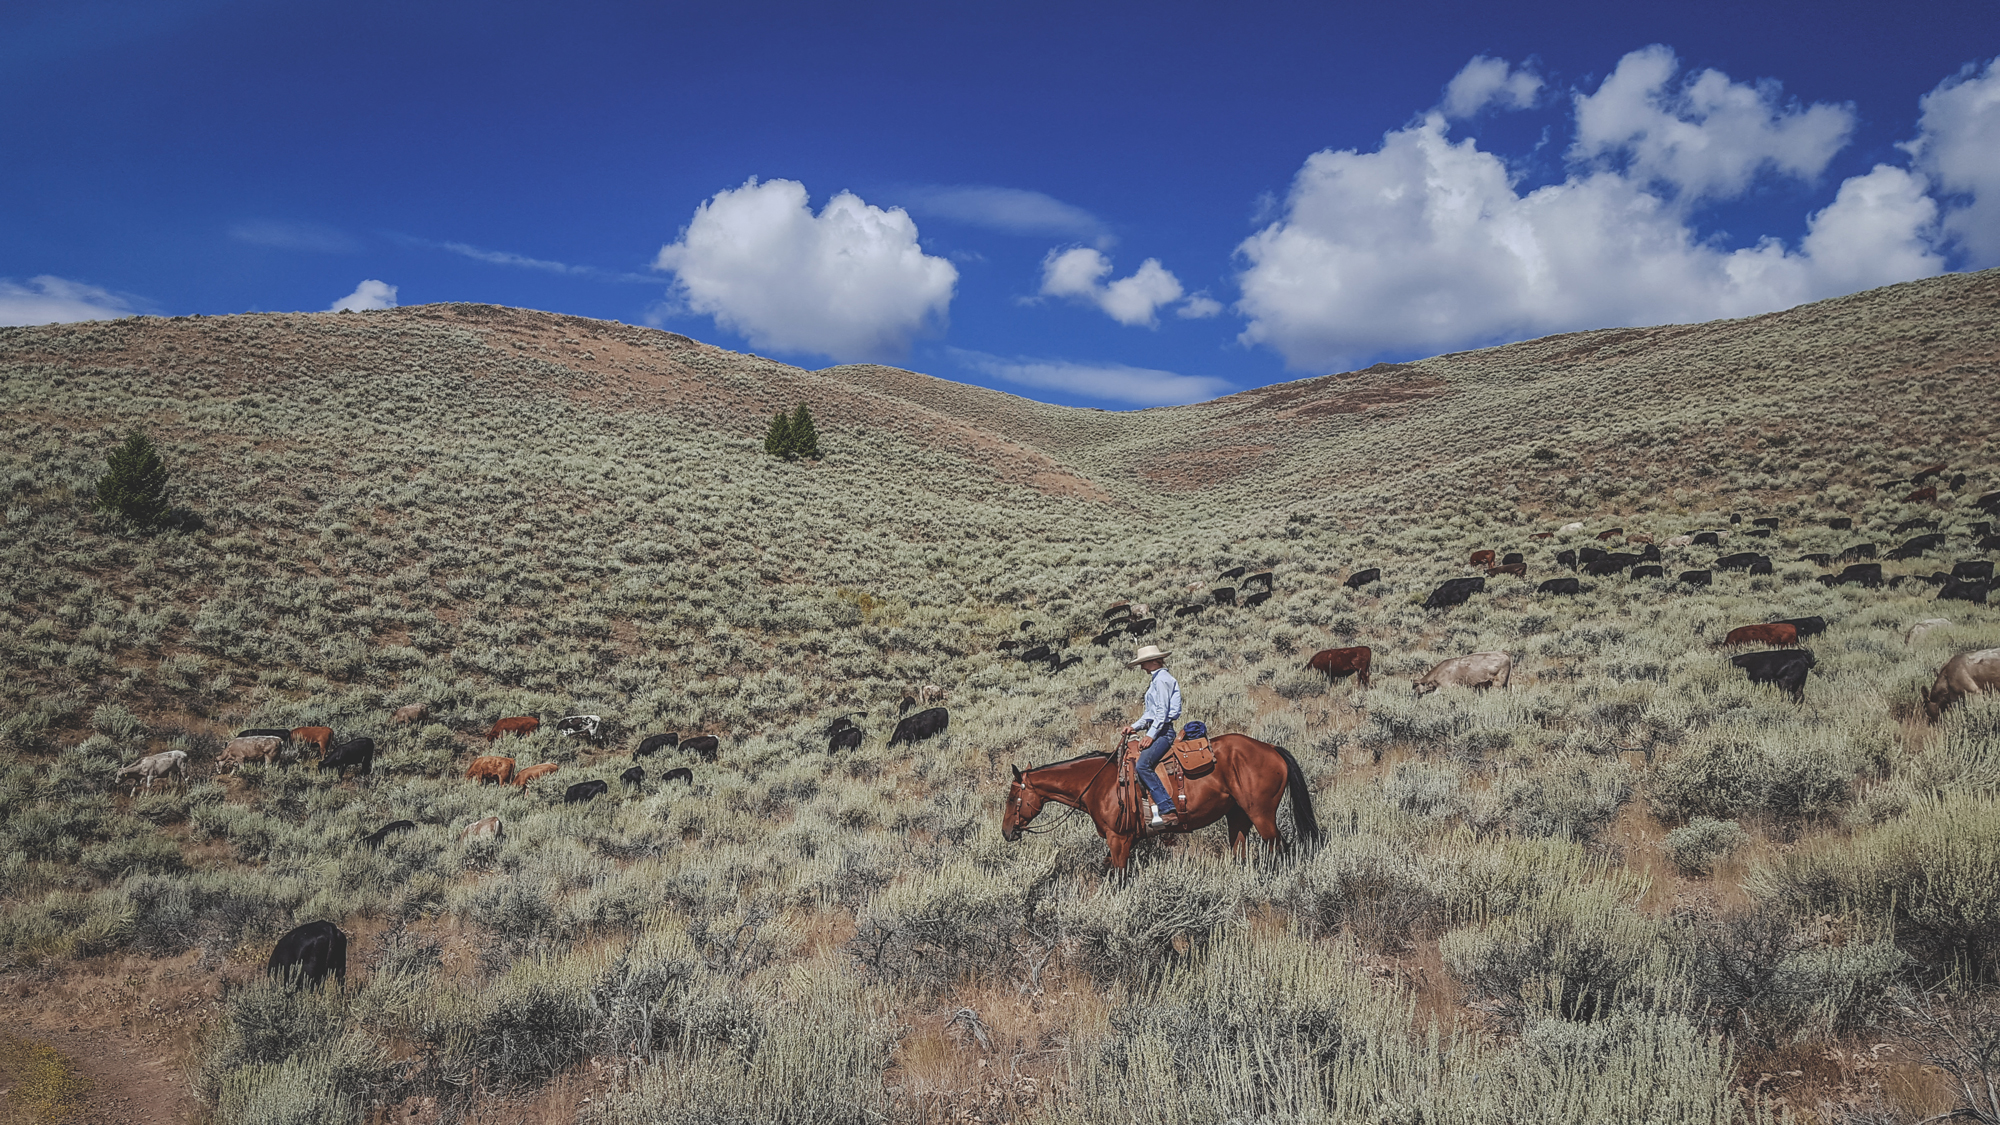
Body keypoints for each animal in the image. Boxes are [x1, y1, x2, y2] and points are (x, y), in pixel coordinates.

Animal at [996, 736, 1312, 868]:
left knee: (1279, 848)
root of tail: (1271, 748)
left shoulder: (1119, 839)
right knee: (1240, 852)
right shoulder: (1126, 840)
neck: (1098, 784)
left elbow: (1119, 876)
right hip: (1237, 816)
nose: (1007, 832)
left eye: (1011, 797)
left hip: (1262, 815)